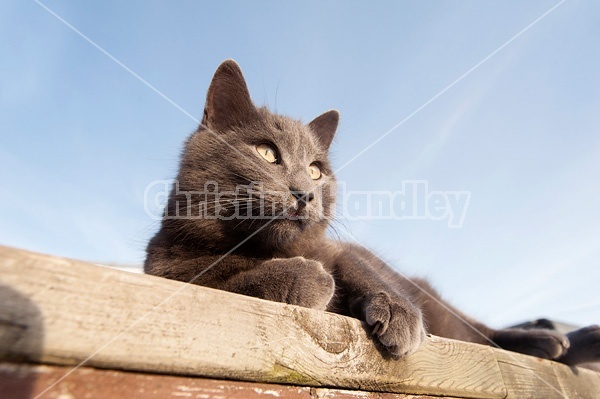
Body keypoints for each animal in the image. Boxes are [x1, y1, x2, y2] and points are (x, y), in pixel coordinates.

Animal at [145, 59, 600, 366]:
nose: (305, 193)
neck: (265, 246)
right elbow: (218, 275)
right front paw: (306, 278)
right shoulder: (165, 268)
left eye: (316, 169)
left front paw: (399, 314)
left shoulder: (342, 250)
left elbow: (356, 265)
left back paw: (558, 341)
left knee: (477, 330)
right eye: (266, 153)